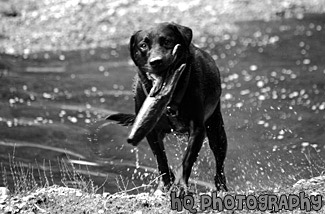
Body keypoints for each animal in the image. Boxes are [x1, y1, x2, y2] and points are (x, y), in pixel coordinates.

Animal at [107, 22, 228, 193]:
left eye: (168, 41)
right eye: (143, 45)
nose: (156, 61)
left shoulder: (198, 129)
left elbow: (187, 160)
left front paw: (181, 185)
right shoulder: (151, 132)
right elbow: (161, 159)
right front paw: (166, 184)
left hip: (216, 129)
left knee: (219, 163)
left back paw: (222, 188)